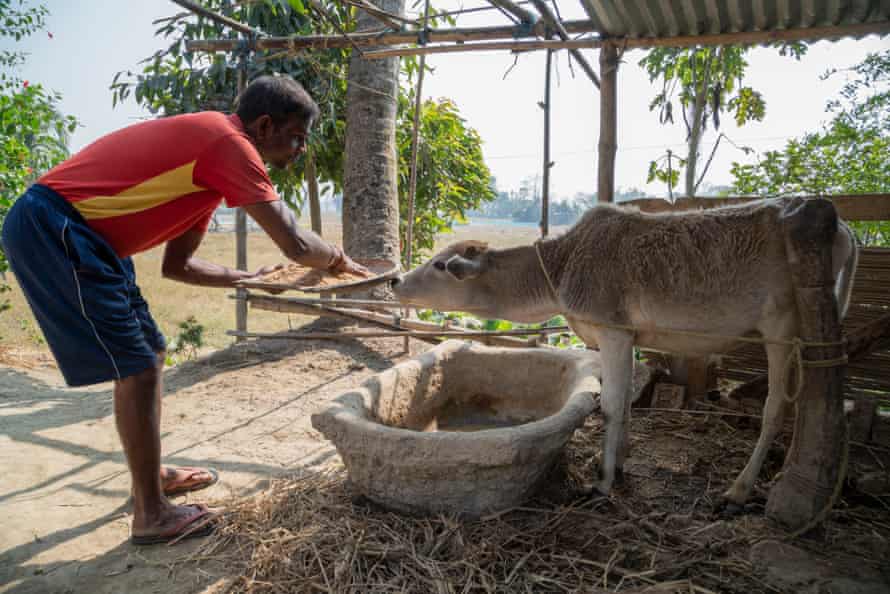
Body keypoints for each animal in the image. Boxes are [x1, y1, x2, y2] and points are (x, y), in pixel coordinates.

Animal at [386, 197, 852, 502]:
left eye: (439, 265)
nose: (394, 280)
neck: (562, 267)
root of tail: (844, 229)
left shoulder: (611, 332)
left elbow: (610, 405)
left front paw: (604, 480)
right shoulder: (629, 338)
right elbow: (626, 404)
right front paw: (620, 465)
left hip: (782, 327)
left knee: (777, 407)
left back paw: (739, 490)